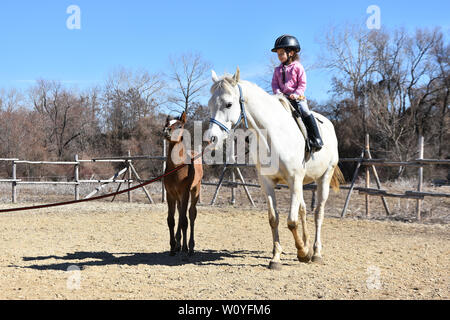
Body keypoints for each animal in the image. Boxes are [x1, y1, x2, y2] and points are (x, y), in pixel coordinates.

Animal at [163, 112, 203, 258]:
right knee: (180, 213)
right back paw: (179, 245)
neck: (177, 168)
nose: (166, 131)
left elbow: (184, 221)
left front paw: (186, 248)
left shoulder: (185, 192)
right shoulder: (170, 194)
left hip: (195, 190)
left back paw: (189, 247)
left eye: (179, 125)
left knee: (190, 215)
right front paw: (172, 247)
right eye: (166, 124)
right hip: (178, 197)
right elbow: (171, 220)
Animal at [206, 68, 342, 270]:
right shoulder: (267, 182)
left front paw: (302, 253)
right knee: (303, 210)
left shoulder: (294, 179)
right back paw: (307, 245)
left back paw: (316, 253)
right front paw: (277, 257)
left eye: (228, 104)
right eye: (209, 104)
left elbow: (291, 221)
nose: (211, 138)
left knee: (318, 213)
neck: (273, 134)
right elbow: (274, 218)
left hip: (323, 178)